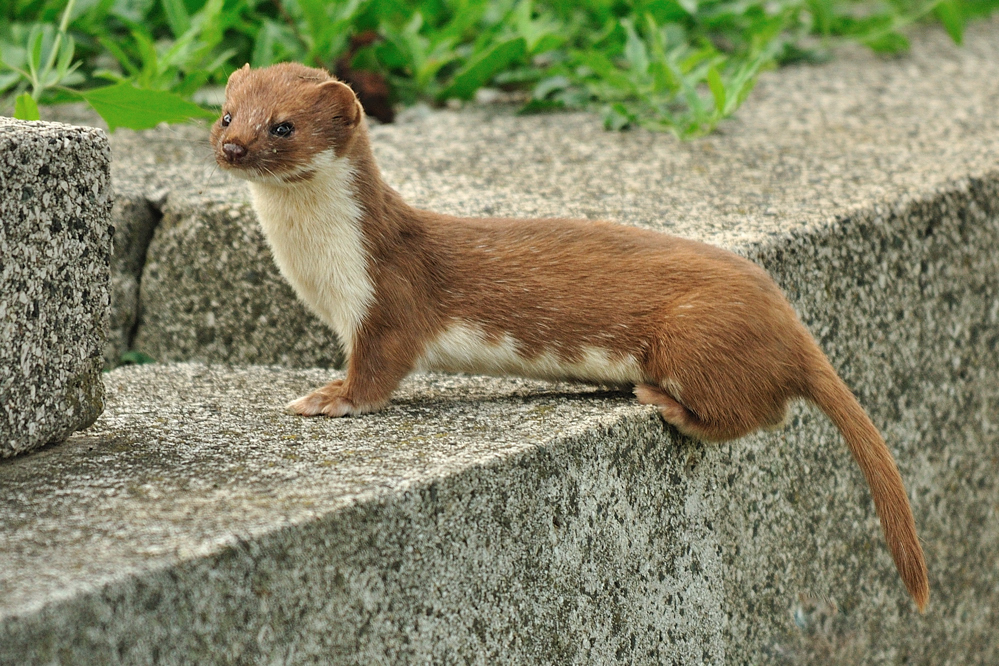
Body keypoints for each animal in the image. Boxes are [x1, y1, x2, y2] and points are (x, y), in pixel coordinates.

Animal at [209, 62, 928, 608]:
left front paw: (326, 398)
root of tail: (788, 318)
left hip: (693, 333)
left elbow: (377, 372)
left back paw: (665, 403)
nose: (232, 148)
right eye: (225, 113)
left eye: (283, 125)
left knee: (756, 412)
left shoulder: (387, 301)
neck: (319, 272)